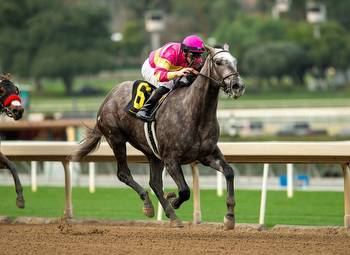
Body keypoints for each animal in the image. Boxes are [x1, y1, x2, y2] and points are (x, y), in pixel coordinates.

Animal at [72, 45, 245, 229]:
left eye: (235, 61)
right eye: (218, 62)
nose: (237, 86)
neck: (195, 112)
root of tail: (109, 96)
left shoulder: (207, 154)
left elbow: (229, 172)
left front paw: (229, 217)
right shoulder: (171, 159)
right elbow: (184, 191)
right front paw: (174, 200)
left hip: (152, 153)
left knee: (154, 183)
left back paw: (172, 216)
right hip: (116, 140)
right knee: (124, 174)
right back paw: (149, 205)